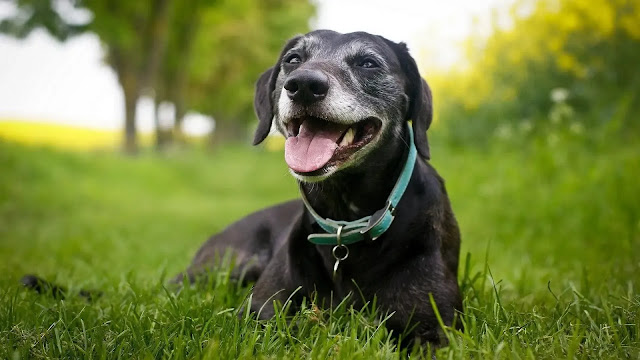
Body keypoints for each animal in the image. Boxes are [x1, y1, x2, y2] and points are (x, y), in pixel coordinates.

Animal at [172, 30, 462, 346]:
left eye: (368, 63)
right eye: (293, 59)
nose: (303, 85)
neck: (345, 217)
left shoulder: (433, 327)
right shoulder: (256, 314)